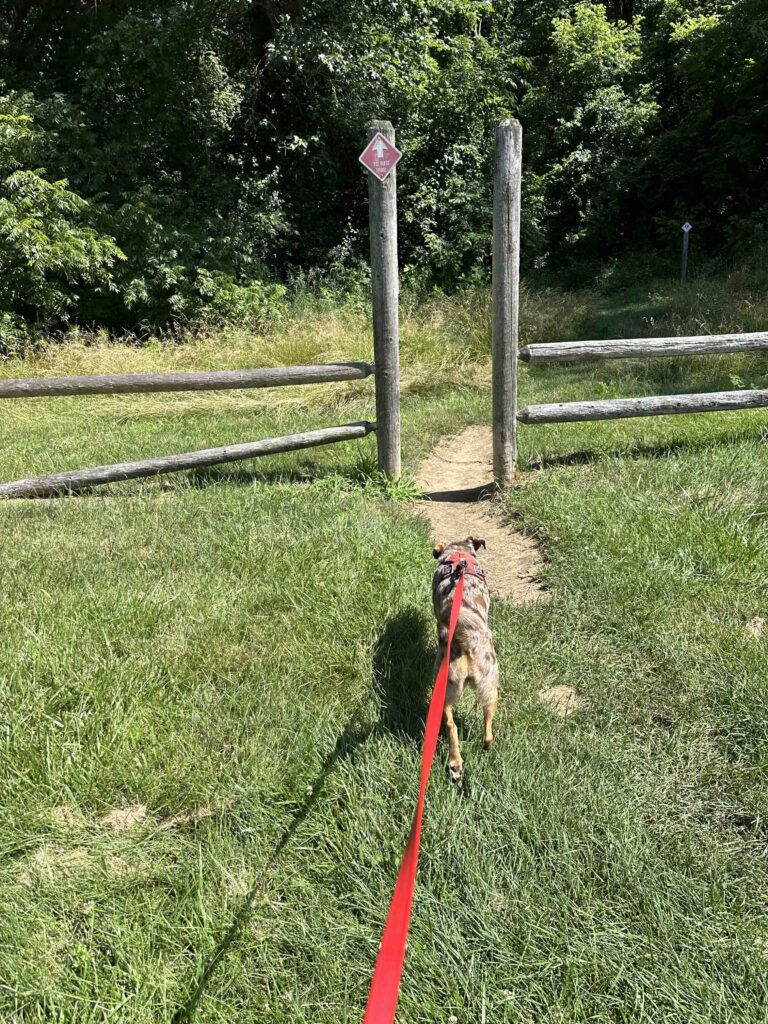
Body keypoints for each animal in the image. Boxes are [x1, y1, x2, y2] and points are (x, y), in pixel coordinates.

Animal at [434, 536, 499, 774]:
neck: (459, 553)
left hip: (448, 689)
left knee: (451, 724)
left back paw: (455, 762)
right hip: (490, 685)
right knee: (487, 725)